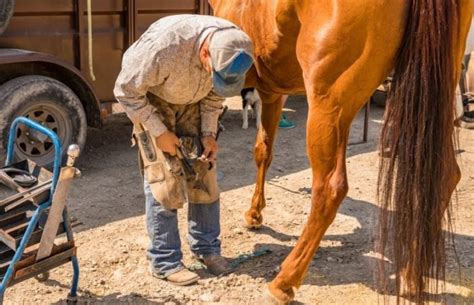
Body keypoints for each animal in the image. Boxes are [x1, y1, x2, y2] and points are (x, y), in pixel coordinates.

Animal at [209, 0, 472, 302]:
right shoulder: (273, 92)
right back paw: (410, 276)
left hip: (328, 106)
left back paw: (284, 282)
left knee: (330, 189)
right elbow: (263, 150)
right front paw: (254, 214)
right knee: (445, 176)